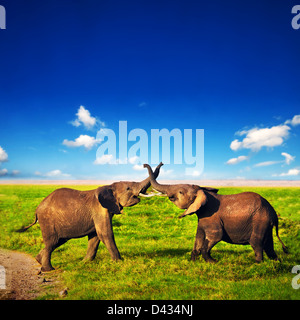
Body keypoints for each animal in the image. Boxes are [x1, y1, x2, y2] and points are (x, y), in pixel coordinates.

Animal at [15, 164, 162, 272]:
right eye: (128, 188)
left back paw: (38, 259)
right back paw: (48, 269)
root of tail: (37, 209)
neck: (109, 186)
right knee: (52, 241)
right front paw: (119, 262)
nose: (144, 164)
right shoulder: (99, 209)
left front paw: (84, 262)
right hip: (47, 221)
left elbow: (95, 237)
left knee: (58, 241)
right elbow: (105, 233)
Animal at [144, 164, 288, 264]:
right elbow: (198, 237)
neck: (203, 192)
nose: (145, 165)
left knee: (256, 243)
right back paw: (276, 262)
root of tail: (274, 213)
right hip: (266, 224)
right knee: (268, 245)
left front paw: (213, 262)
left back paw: (257, 264)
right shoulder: (202, 219)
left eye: (180, 192)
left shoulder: (212, 218)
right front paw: (193, 262)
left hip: (260, 220)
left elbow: (215, 236)